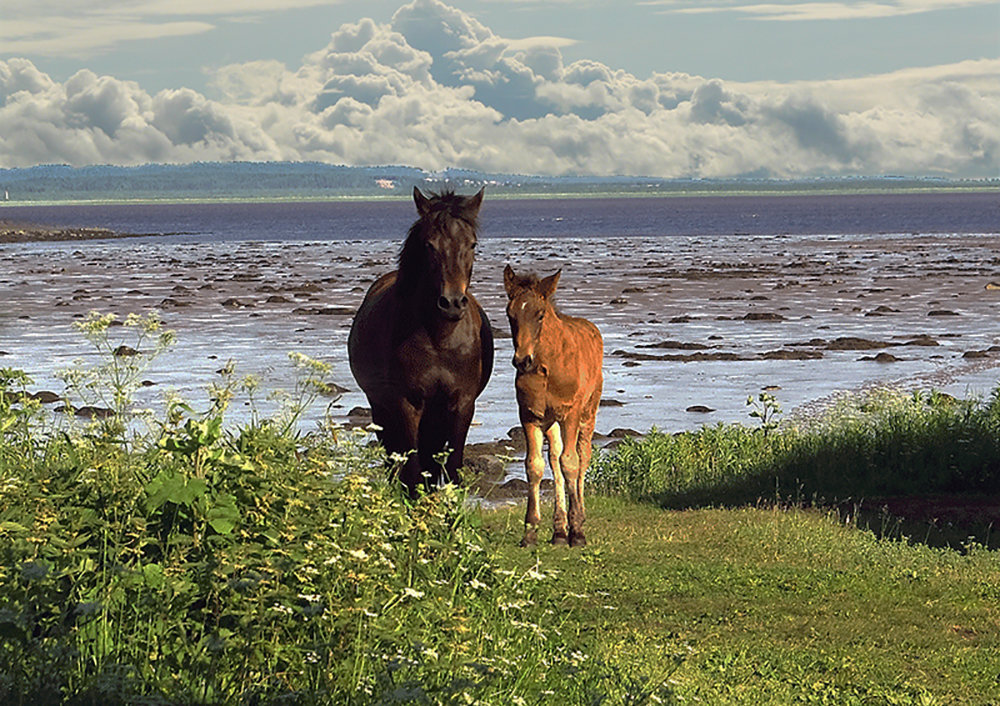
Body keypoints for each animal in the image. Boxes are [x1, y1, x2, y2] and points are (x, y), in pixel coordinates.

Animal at [350, 187, 494, 496]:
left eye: (472, 244)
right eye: (429, 245)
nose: (451, 303)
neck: (439, 339)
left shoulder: (462, 404)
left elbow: (451, 467)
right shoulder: (407, 405)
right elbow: (413, 470)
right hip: (381, 408)